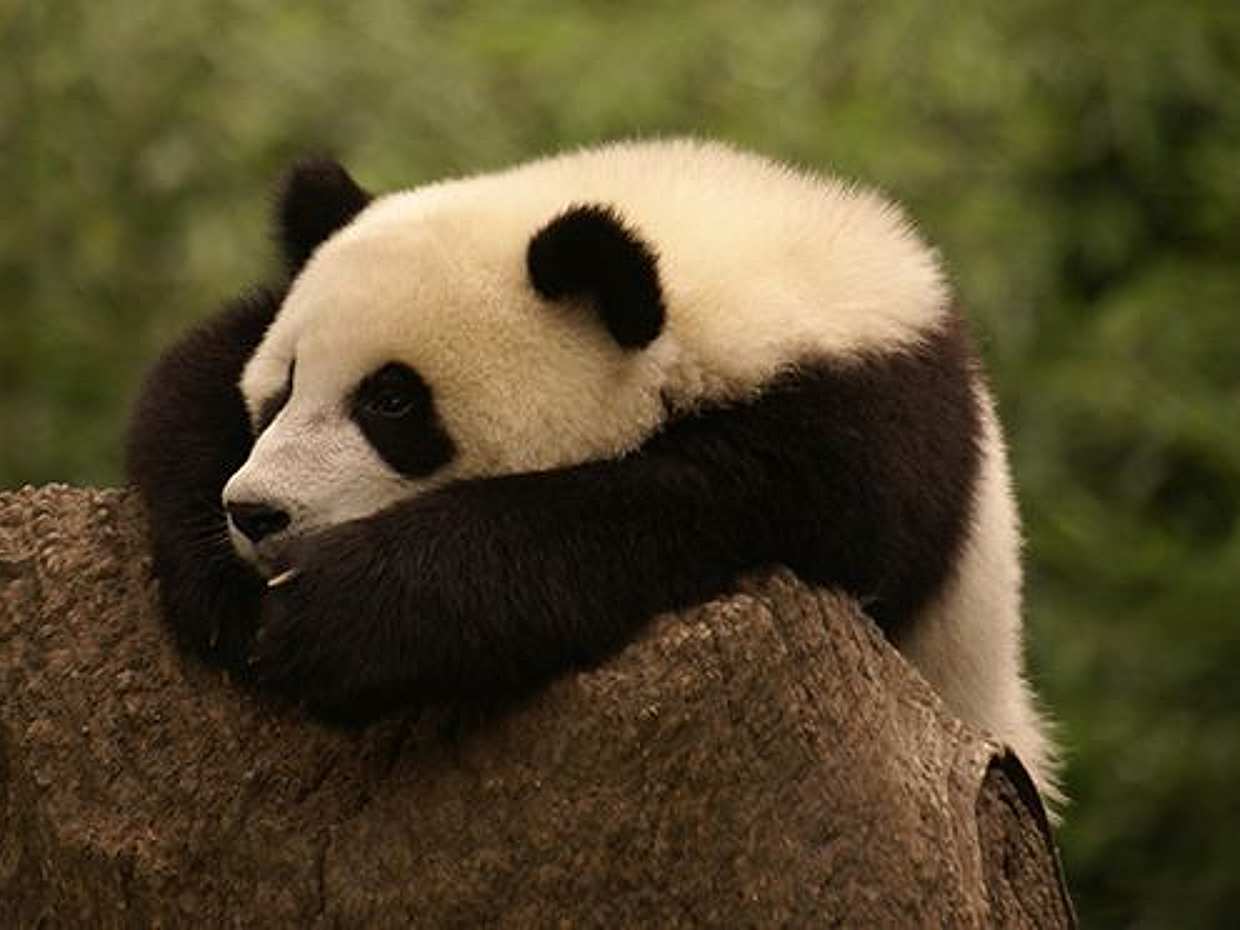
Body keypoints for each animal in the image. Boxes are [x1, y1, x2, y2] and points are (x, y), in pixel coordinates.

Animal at [127, 138, 1060, 808]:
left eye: (392, 403)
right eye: (281, 388)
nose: (257, 512)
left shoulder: (854, 438)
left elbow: (667, 515)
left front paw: (342, 617)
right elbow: (189, 370)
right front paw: (220, 587)